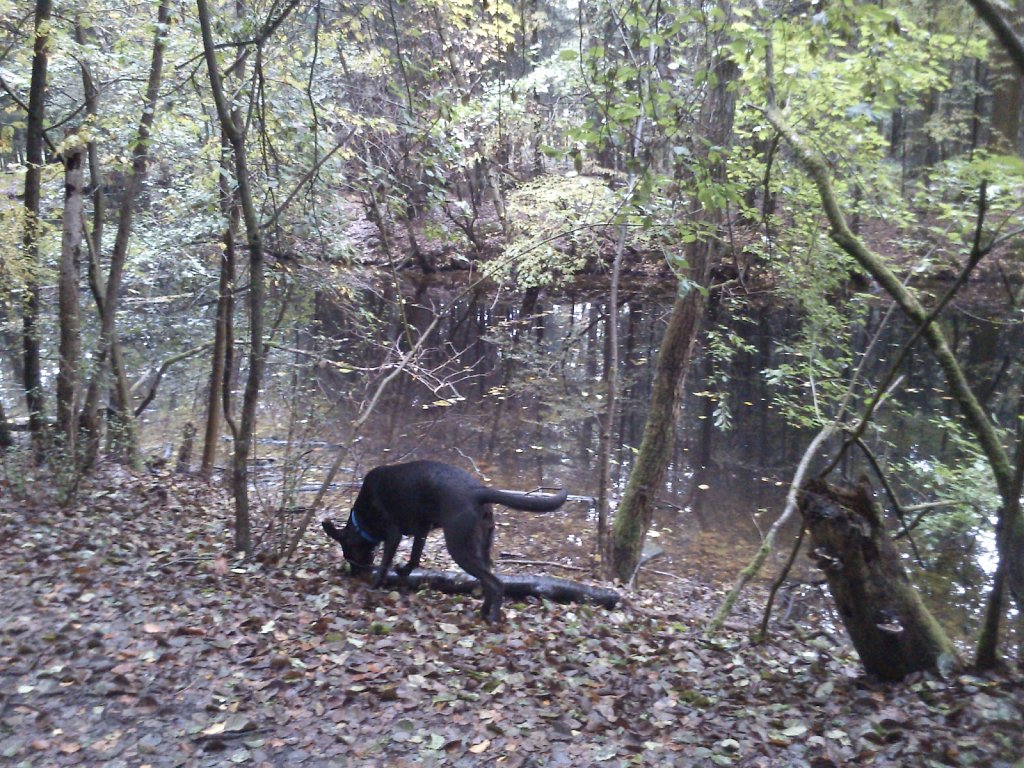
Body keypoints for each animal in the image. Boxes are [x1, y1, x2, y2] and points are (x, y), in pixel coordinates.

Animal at [323, 460, 569, 622]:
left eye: (349, 554)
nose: (355, 575)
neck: (361, 521)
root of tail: (478, 492)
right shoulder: (421, 530)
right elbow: (414, 557)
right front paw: (403, 570)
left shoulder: (393, 535)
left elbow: (384, 565)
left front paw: (375, 585)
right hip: (480, 546)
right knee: (487, 580)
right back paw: (484, 611)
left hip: (458, 547)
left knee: (495, 583)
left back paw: (493, 616)